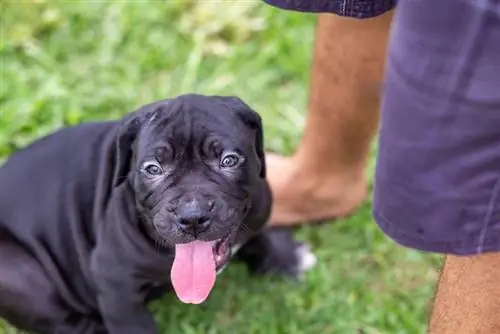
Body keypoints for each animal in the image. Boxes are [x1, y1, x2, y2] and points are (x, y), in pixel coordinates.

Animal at [0, 94, 316, 334]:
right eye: (153, 168)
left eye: (229, 160)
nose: (192, 215)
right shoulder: (116, 284)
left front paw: (286, 258)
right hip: (19, 275)